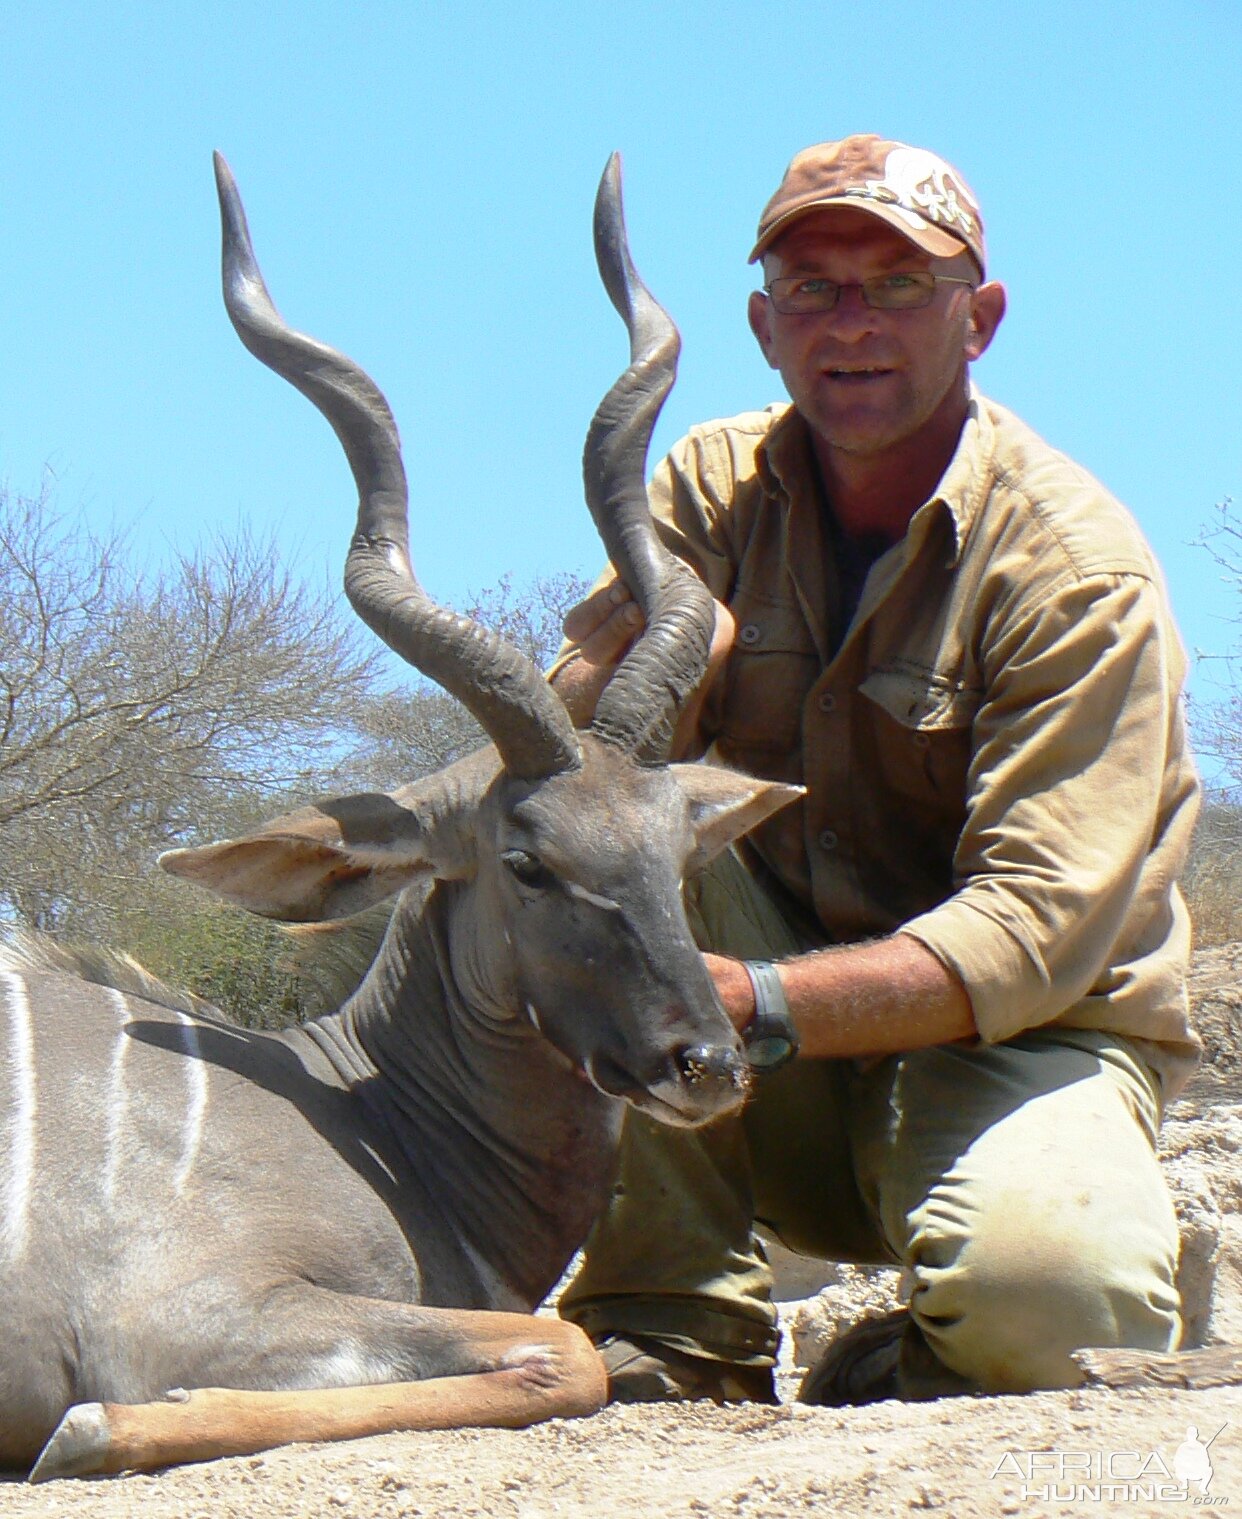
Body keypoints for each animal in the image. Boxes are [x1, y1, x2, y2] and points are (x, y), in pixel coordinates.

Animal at [0, 157, 795, 1482]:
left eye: (675, 848)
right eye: (525, 860)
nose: (708, 1064)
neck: (360, 1108)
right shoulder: (189, 1308)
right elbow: (565, 1355)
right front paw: (96, 1431)